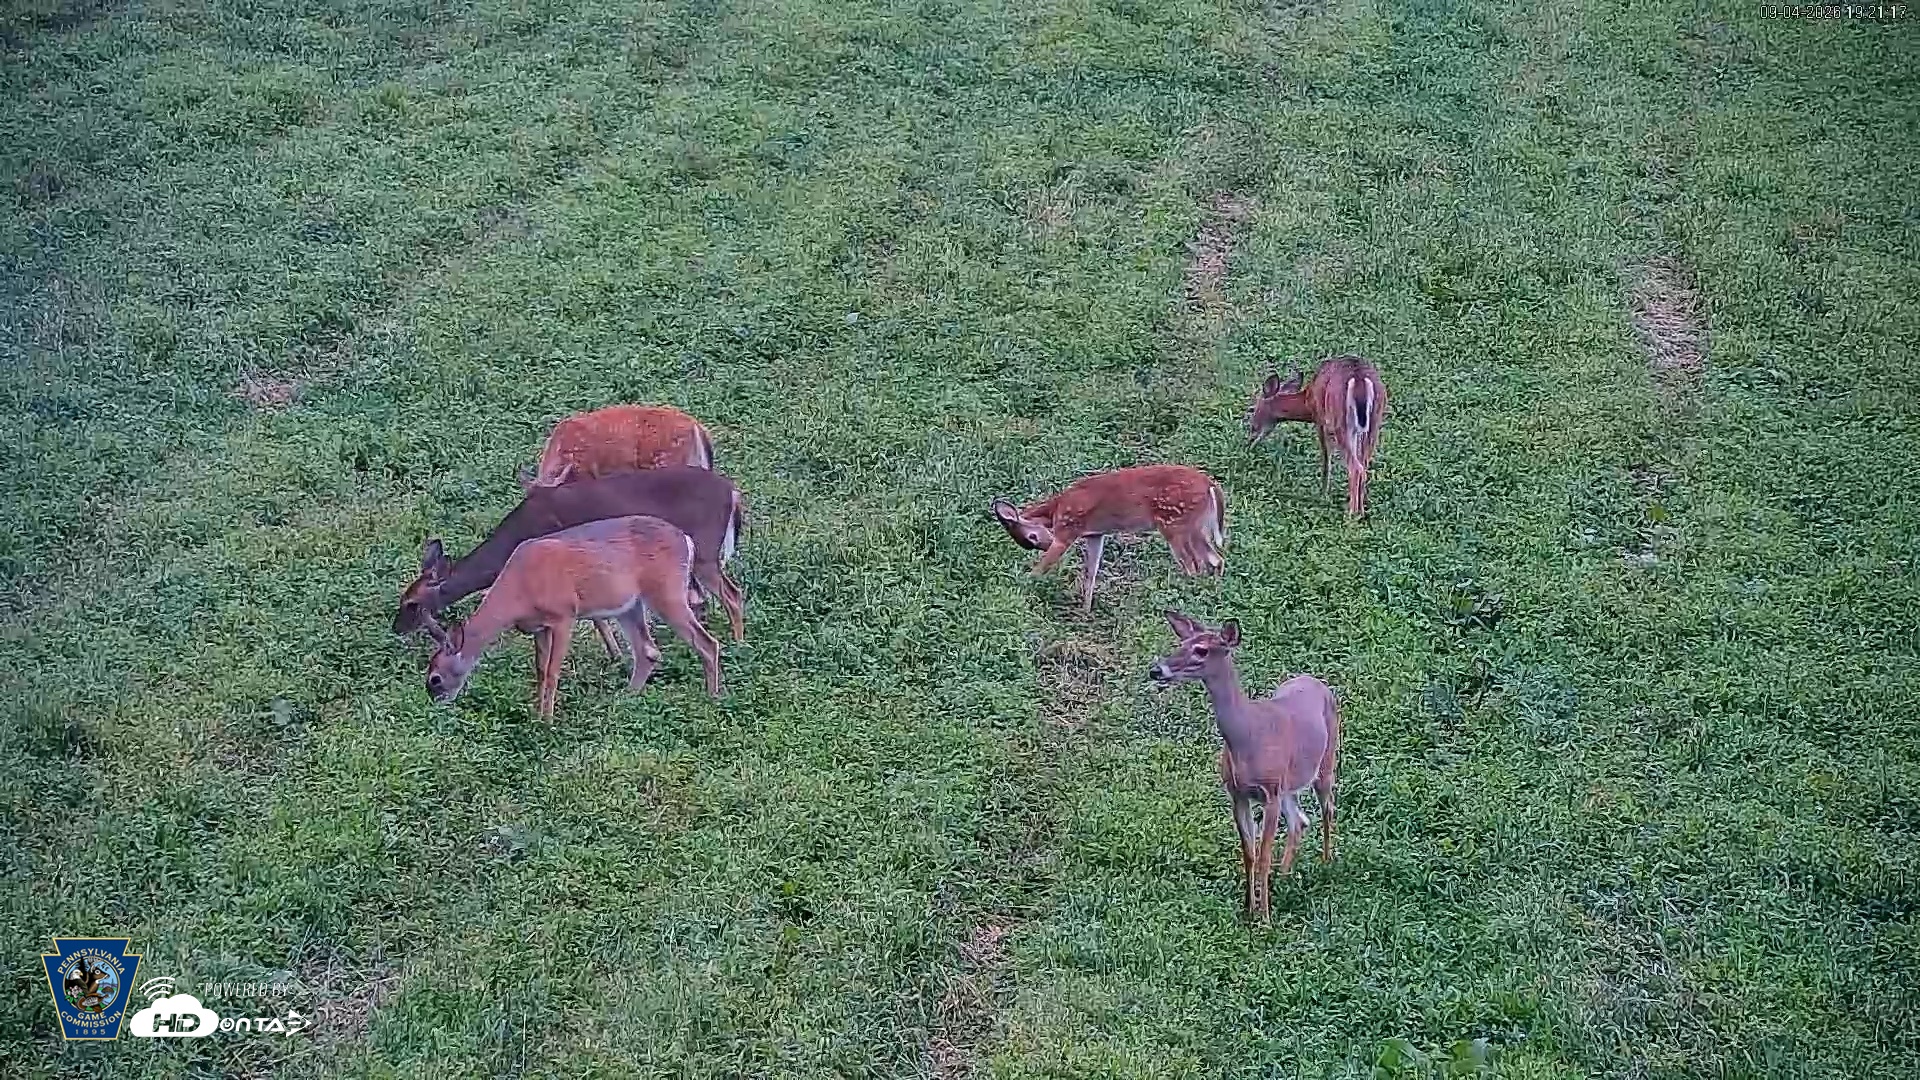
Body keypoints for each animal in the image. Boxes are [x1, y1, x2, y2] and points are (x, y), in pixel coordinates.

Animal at [393, 466, 746, 656]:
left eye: (412, 603)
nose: (396, 628)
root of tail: (734, 492)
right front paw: (617, 654)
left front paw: (617, 655)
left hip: (704, 549)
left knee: (733, 594)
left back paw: (739, 643)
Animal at [421, 515, 722, 717]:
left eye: (435, 677)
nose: (434, 702)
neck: (520, 588)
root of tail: (687, 540)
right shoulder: (538, 627)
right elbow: (540, 670)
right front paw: (535, 714)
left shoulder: (564, 615)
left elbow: (554, 671)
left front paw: (547, 721)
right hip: (629, 605)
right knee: (648, 651)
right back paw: (624, 700)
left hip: (666, 593)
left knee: (707, 642)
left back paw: (713, 697)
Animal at [990, 464, 1225, 614]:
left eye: (1031, 536)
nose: (1045, 543)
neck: (1055, 509)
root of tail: (1210, 485)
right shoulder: (1096, 534)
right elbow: (1091, 573)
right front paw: (1085, 610)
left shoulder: (1068, 529)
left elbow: (1042, 568)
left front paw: (1023, 587)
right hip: (1196, 526)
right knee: (1215, 559)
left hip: (1175, 524)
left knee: (1194, 565)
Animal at [1148, 611, 1340, 922]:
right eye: (1182, 642)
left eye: (1201, 650)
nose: (1157, 670)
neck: (1247, 738)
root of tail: (1317, 682)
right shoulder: (1238, 793)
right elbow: (1249, 853)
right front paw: (1248, 909)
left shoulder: (1270, 794)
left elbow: (1263, 856)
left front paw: (1265, 919)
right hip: (1289, 784)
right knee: (1299, 820)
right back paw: (1284, 876)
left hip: (1326, 761)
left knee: (1327, 808)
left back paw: (1326, 864)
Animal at [1246, 355, 1387, 518]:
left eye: (1254, 409)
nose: (1251, 437)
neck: (1308, 398)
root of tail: (1360, 380)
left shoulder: (1320, 418)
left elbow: (1326, 459)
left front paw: (1323, 493)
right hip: (1374, 423)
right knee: (1363, 465)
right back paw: (1361, 512)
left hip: (1341, 421)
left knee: (1356, 467)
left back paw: (1352, 513)